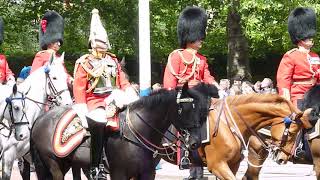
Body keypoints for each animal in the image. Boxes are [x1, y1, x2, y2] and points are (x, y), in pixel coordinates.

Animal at [30, 83, 219, 179]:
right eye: (181, 109)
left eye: (200, 110)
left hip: (69, 163)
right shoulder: (119, 174)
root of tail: (42, 117)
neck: (138, 132)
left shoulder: (146, 173)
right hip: (54, 163)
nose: (195, 142)